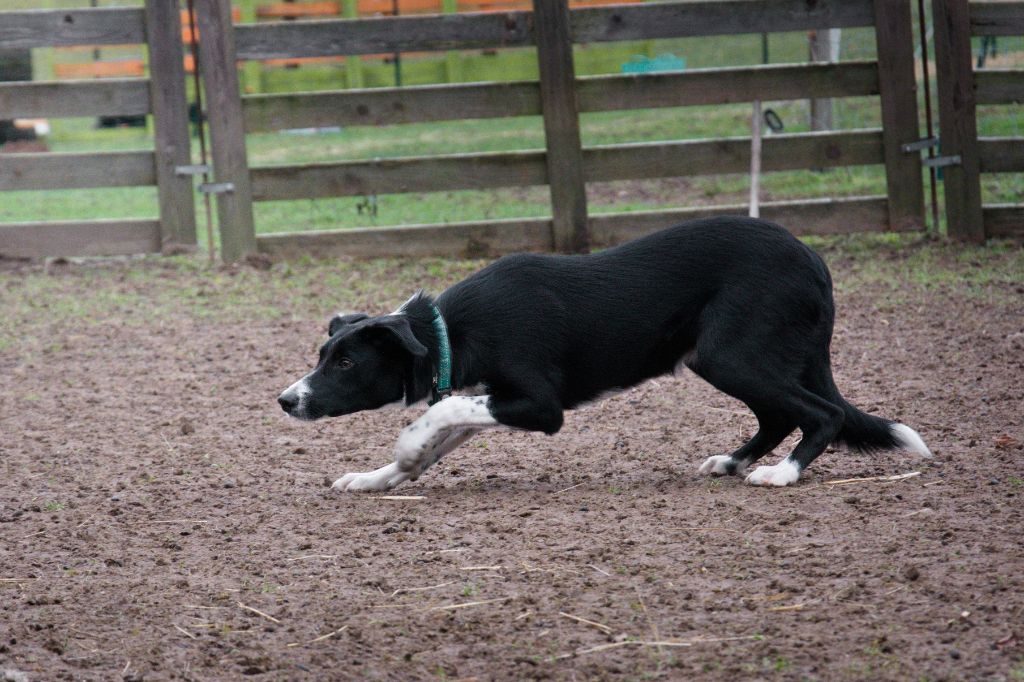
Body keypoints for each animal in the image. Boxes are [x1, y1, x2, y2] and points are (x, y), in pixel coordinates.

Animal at [278, 216, 931, 492]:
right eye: (323, 354)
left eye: (345, 363)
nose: (286, 400)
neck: (449, 332)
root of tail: (813, 259)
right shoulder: (491, 397)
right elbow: (440, 435)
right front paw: (378, 477)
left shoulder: (540, 406)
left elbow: (435, 415)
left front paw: (404, 448)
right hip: (726, 359)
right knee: (779, 414)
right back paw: (733, 462)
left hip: (731, 355)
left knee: (824, 413)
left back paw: (782, 474)